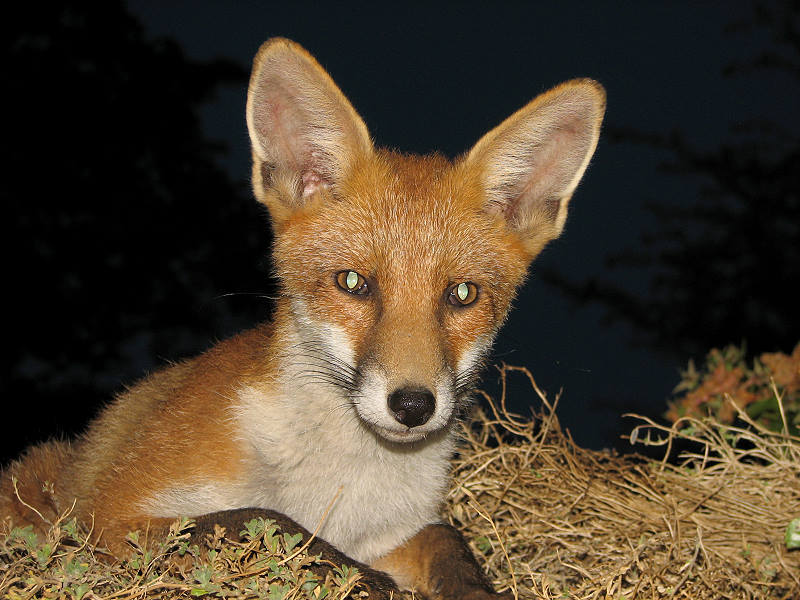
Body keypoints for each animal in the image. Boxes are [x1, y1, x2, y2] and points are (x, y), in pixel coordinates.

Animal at [1, 38, 604, 599]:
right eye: (353, 283)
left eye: (462, 294)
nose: (412, 406)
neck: (340, 489)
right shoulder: (110, 514)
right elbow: (262, 520)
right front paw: (365, 582)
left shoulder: (393, 535)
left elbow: (448, 542)